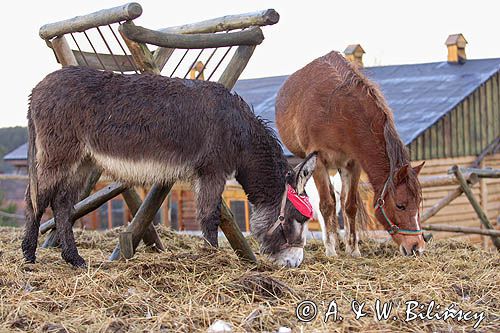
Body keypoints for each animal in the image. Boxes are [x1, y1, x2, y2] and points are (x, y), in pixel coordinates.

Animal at [276, 50, 424, 255]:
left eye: (418, 204)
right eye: (400, 205)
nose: (417, 247)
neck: (338, 112)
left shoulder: (353, 163)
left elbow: (349, 205)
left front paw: (353, 249)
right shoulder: (318, 160)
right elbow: (326, 205)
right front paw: (330, 250)